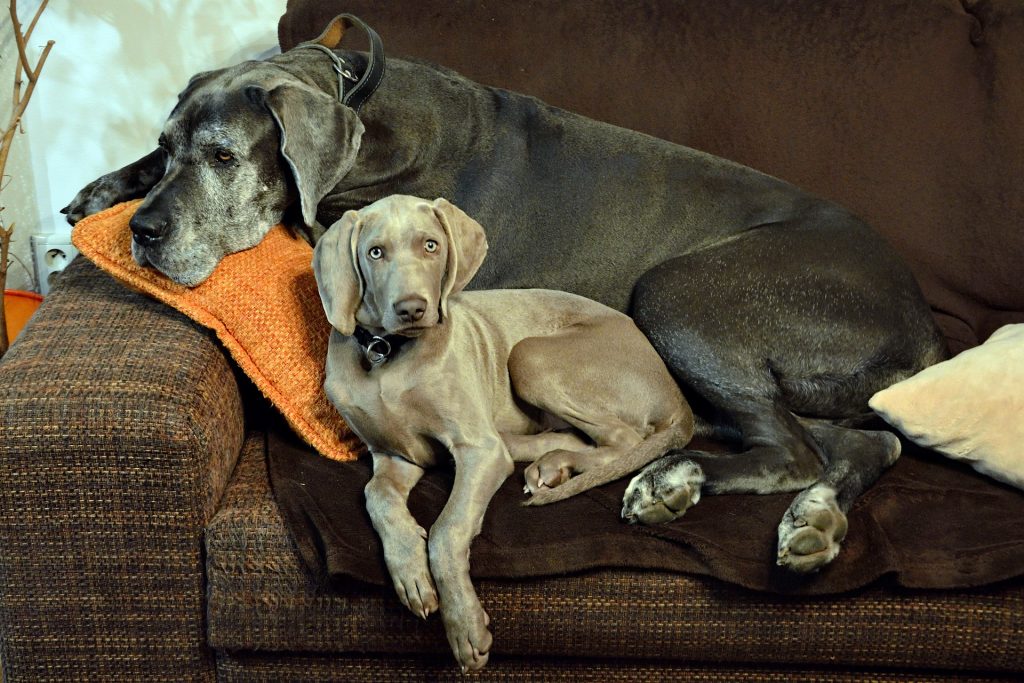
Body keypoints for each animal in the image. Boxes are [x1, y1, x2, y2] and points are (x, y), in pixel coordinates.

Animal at [64, 14, 942, 581]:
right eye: (169, 145)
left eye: (222, 155)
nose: (143, 234)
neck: (362, 111)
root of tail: (925, 325)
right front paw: (103, 188)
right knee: (862, 444)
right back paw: (815, 517)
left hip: (676, 293)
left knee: (790, 448)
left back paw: (675, 483)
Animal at [313, 193, 696, 671]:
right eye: (375, 252)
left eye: (431, 246)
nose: (412, 309)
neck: (388, 355)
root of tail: (676, 393)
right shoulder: (396, 455)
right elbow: (376, 494)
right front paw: (410, 572)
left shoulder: (478, 450)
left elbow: (447, 529)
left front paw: (464, 625)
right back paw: (549, 463)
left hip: (530, 355)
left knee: (623, 440)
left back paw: (552, 463)